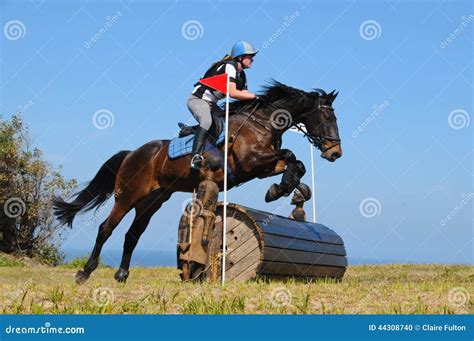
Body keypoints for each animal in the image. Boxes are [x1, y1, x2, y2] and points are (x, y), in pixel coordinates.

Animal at [51, 81, 340, 282]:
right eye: (328, 117)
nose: (335, 153)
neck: (262, 123)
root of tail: (132, 153)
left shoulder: (262, 166)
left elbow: (296, 163)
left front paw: (283, 188)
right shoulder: (251, 161)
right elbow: (290, 155)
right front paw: (280, 189)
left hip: (151, 201)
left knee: (132, 234)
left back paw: (122, 274)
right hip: (128, 195)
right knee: (106, 228)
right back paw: (84, 273)